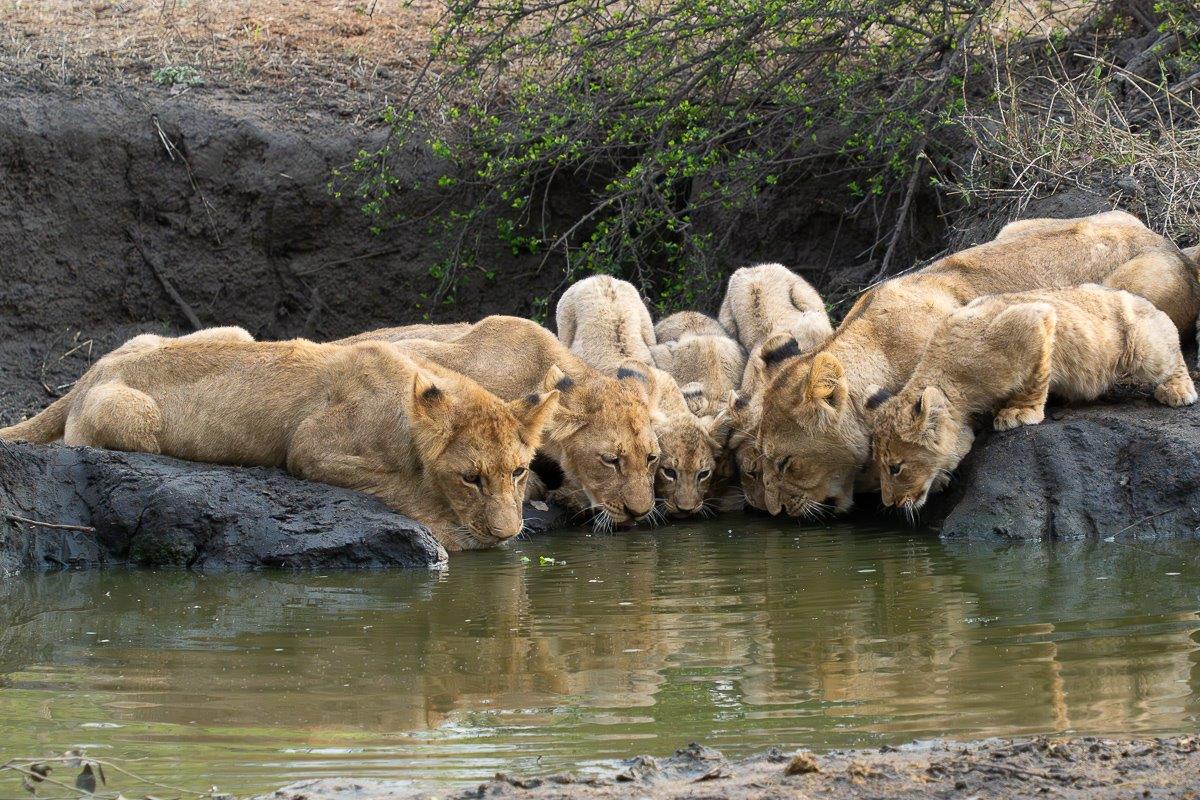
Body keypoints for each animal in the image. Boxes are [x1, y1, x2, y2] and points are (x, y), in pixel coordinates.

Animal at [0, 336, 558, 553]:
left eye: (516, 471)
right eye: (470, 478)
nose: (508, 534)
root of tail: (92, 369)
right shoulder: (310, 446)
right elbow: (404, 487)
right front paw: (457, 534)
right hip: (135, 418)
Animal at [869, 284, 1196, 514]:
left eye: (895, 467)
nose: (888, 504)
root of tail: (1143, 300)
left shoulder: (1034, 319)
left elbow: (1036, 377)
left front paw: (1019, 412)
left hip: (1145, 349)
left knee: (1173, 353)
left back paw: (1178, 390)